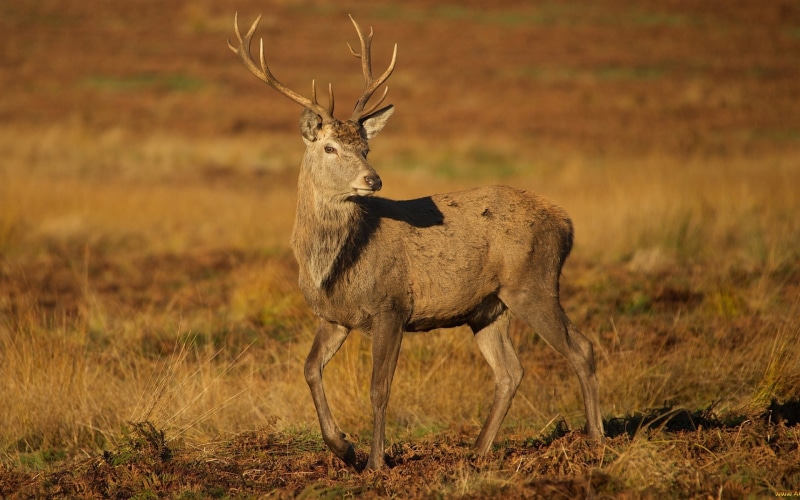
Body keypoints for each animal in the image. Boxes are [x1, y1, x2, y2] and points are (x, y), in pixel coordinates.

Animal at [228, 13, 604, 471]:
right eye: (330, 147)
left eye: (366, 147)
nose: (373, 179)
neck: (333, 266)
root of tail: (567, 223)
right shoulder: (333, 317)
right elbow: (310, 368)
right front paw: (343, 448)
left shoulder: (391, 306)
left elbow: (379, 388)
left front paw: (375, 463)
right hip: (489, 307)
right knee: (510, 371)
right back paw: (476, 452)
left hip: (534, 283)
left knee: (581, 348)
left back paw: (597, 441)